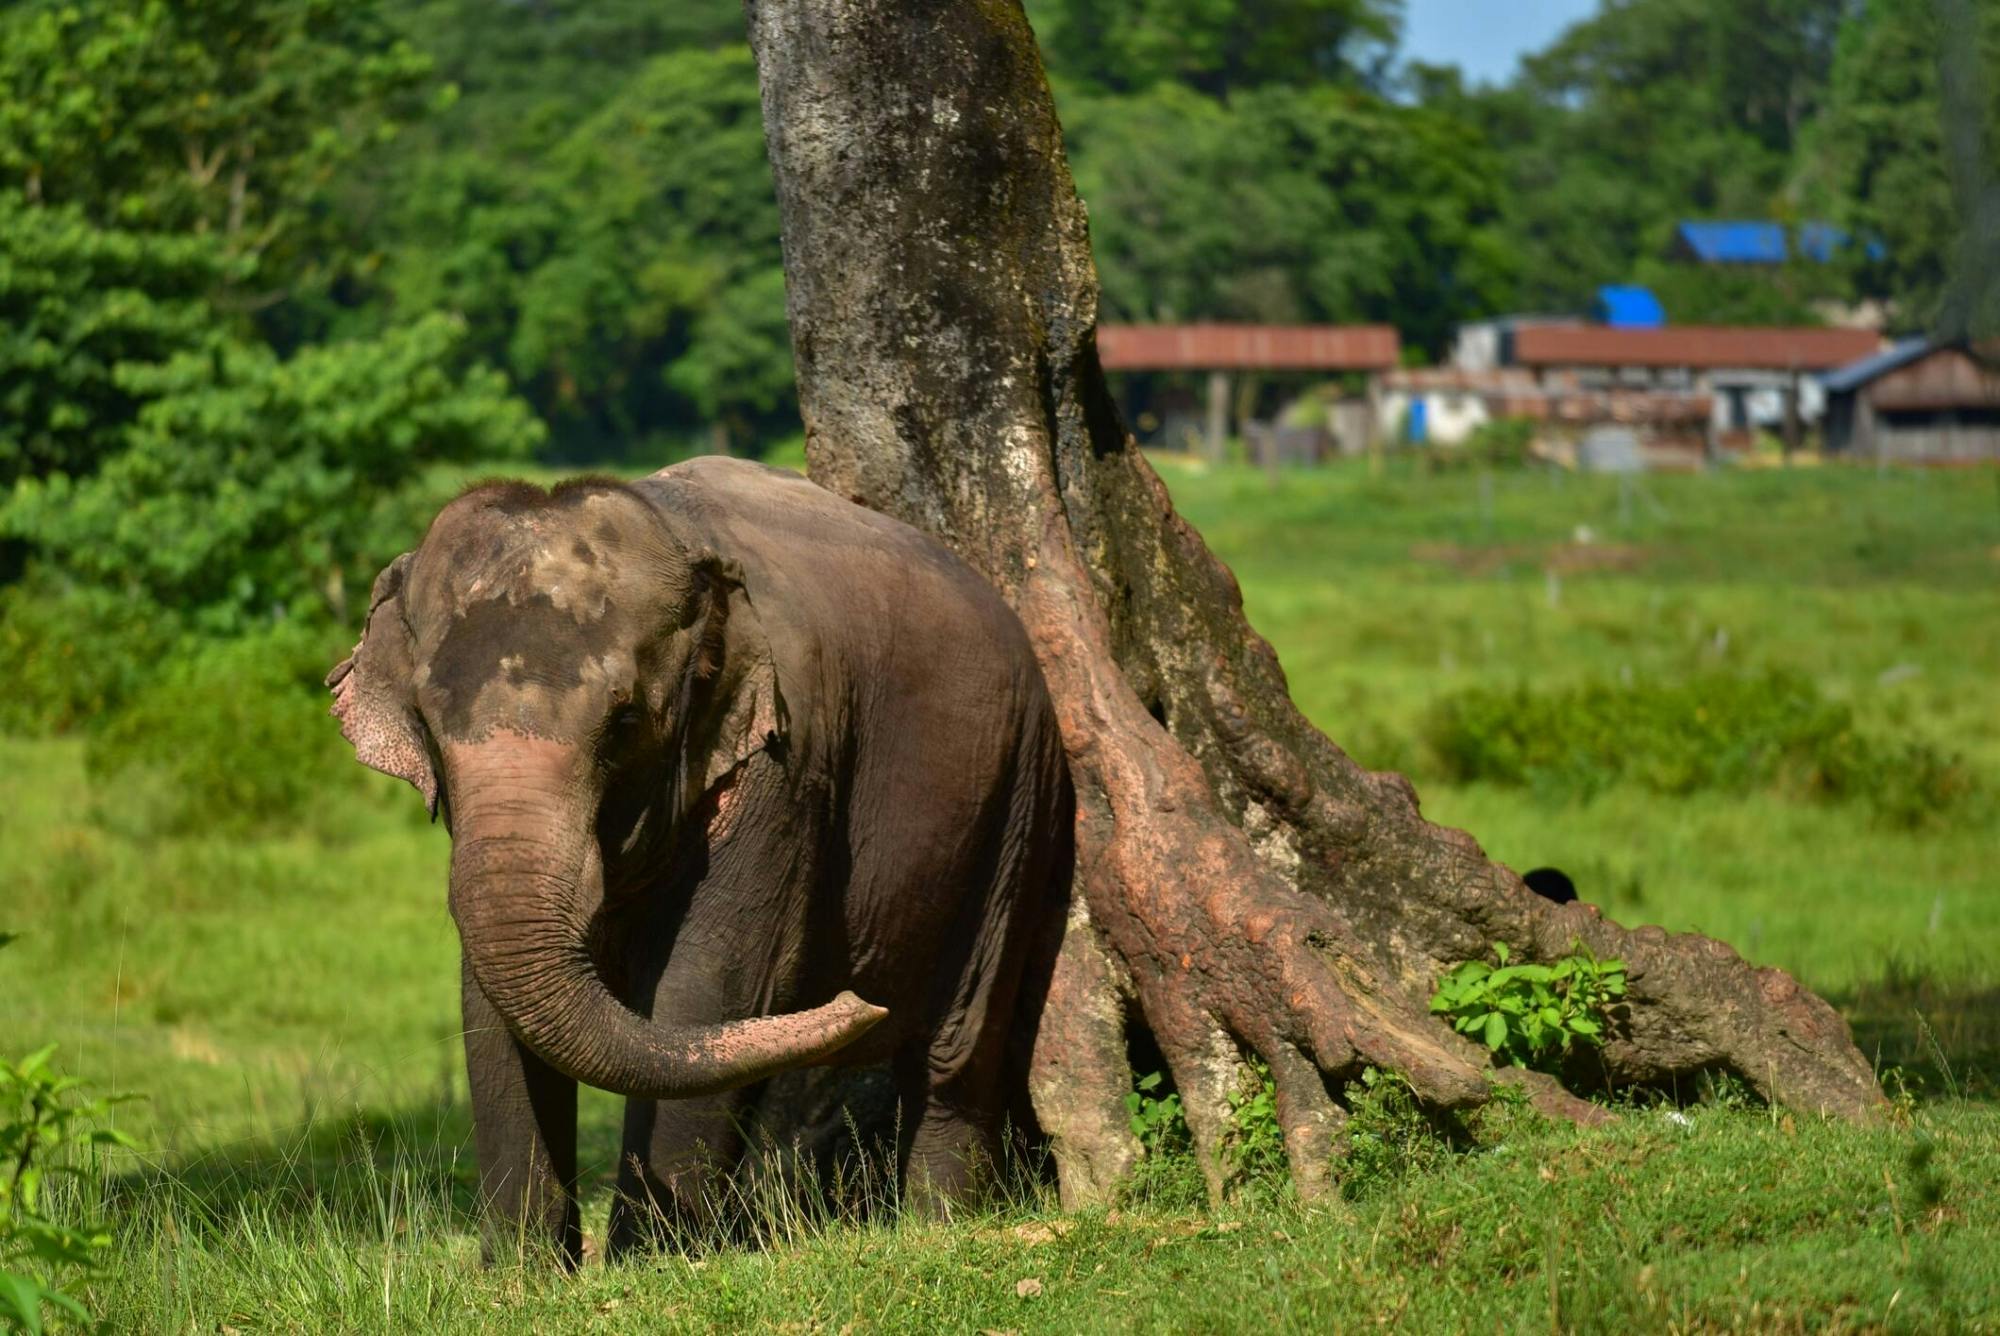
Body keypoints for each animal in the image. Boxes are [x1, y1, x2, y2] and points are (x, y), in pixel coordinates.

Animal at [327, 456, 1070, 1263]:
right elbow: (489, 1008)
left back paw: (936, 1226)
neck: (679, 536)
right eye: (429, 727)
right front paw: (523, 1276)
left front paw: (649, 1265)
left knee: (956, 1048)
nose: (857, 1001)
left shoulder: (786, 760)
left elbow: (707, 983)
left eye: (624, 723)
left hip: (1020, 801)